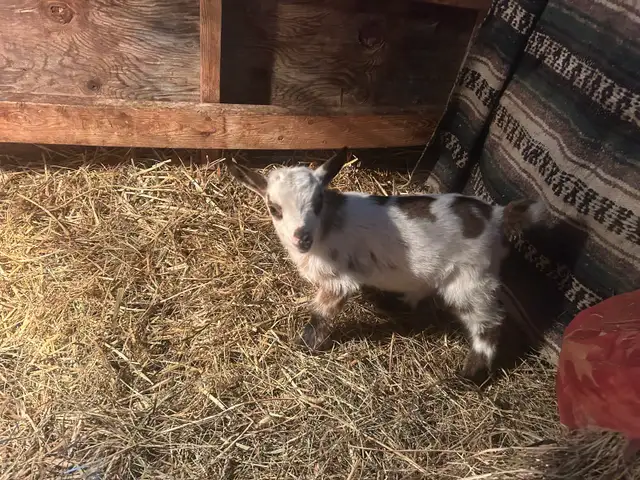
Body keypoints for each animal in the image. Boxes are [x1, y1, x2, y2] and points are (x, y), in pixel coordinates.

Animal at [225, 149, 548, 382]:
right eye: (274, 208)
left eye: (317, 203)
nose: (301, 238)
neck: (327, 224)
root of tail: (496, 215)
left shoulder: (337, 281)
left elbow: (321, 314)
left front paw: (305, 345)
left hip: (471, 281)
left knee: (488, 323)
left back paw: (469, 377)